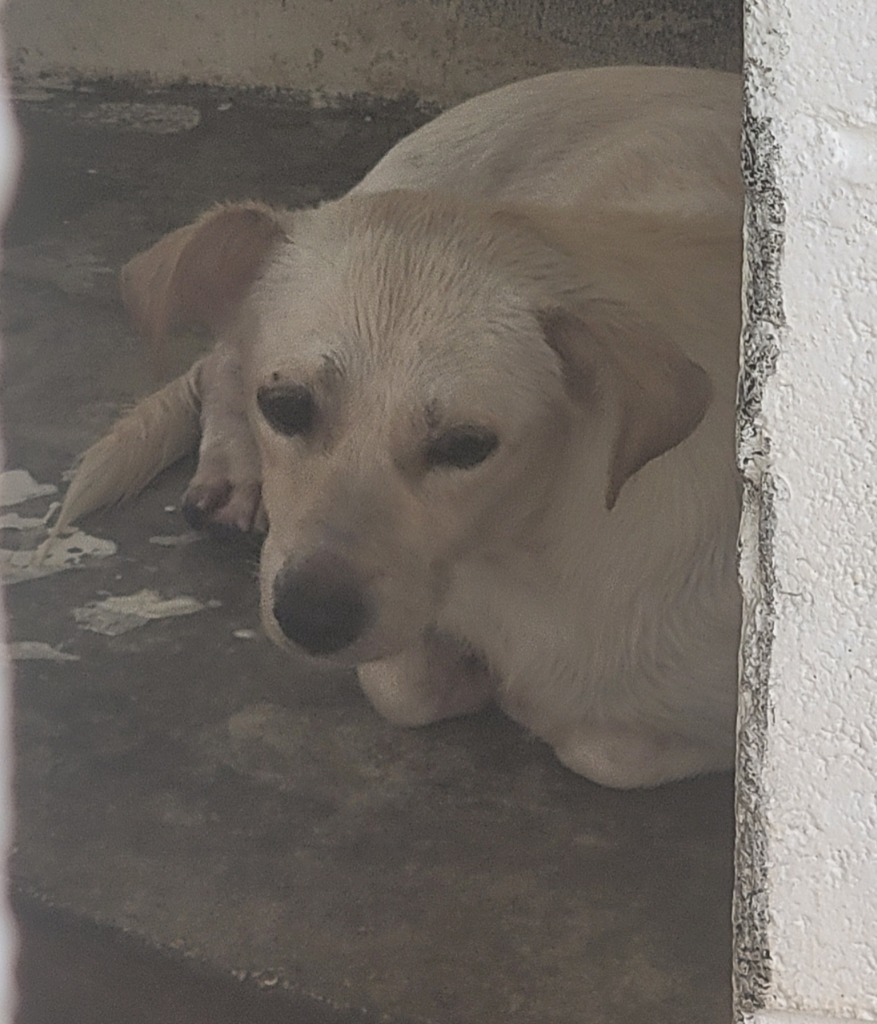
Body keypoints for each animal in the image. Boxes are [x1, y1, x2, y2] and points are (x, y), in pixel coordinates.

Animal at [54, 68, 741, 786]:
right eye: (286, 406)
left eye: (466, 446)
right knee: (221, 357)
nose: (311, 618)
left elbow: (602, 748)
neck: (525, 553)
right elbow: (403, 685)